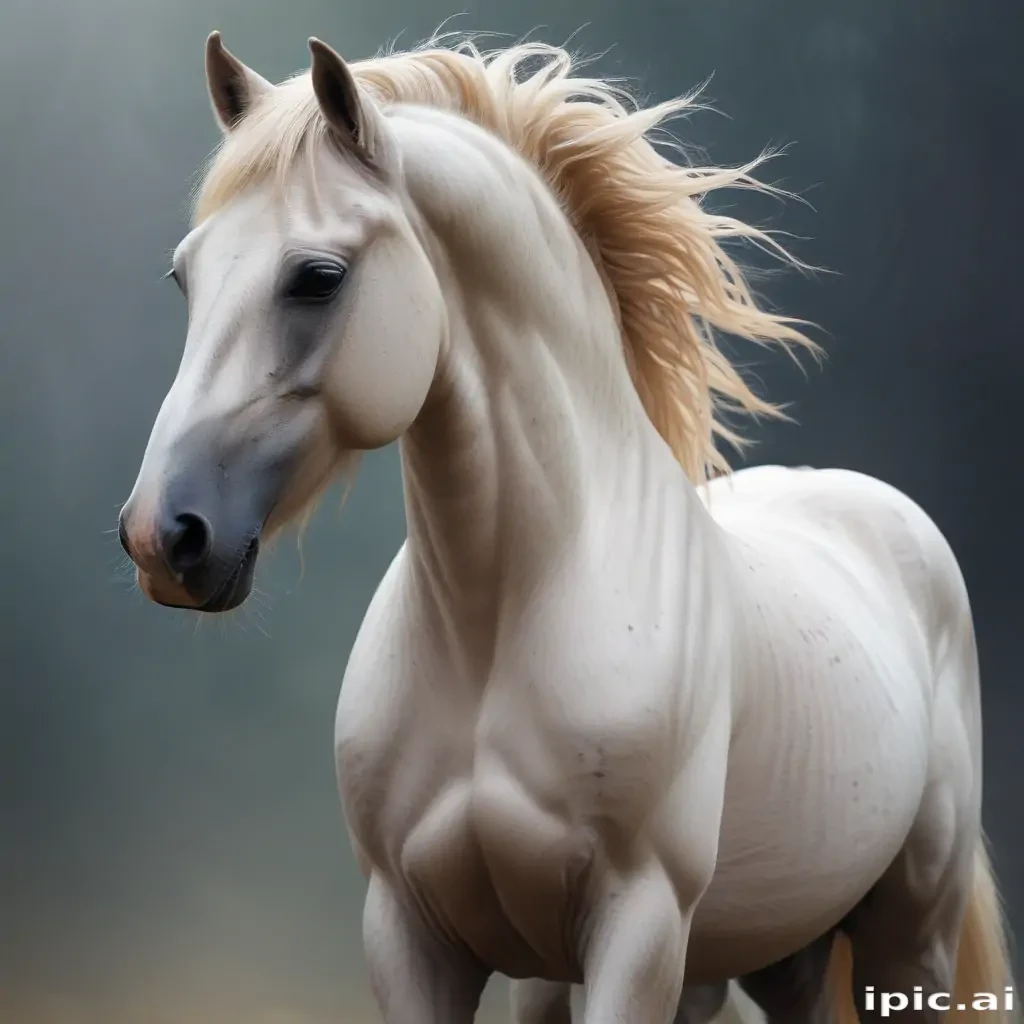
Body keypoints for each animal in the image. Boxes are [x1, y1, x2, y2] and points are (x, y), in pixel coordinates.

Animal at [117, 28, 1016, 1024]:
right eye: (184, 275)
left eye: (317, 278)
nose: (163, 536)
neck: (502, 624)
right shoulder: (414, 935)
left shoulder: (639, 932)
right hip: (770, 950)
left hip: (907, 936)